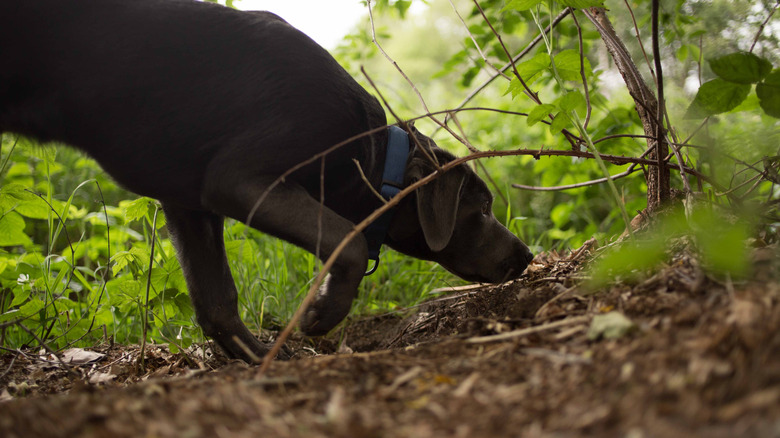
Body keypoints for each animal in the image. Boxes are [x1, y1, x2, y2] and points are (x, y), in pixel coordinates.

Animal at [0, 0, 532, 362]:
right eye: (483, 209)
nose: (527, 255)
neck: (373, 155)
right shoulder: (240, 180)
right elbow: (350, 239)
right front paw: (321, 314)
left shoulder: (189, 206)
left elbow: (216, 302)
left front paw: (263, 359)